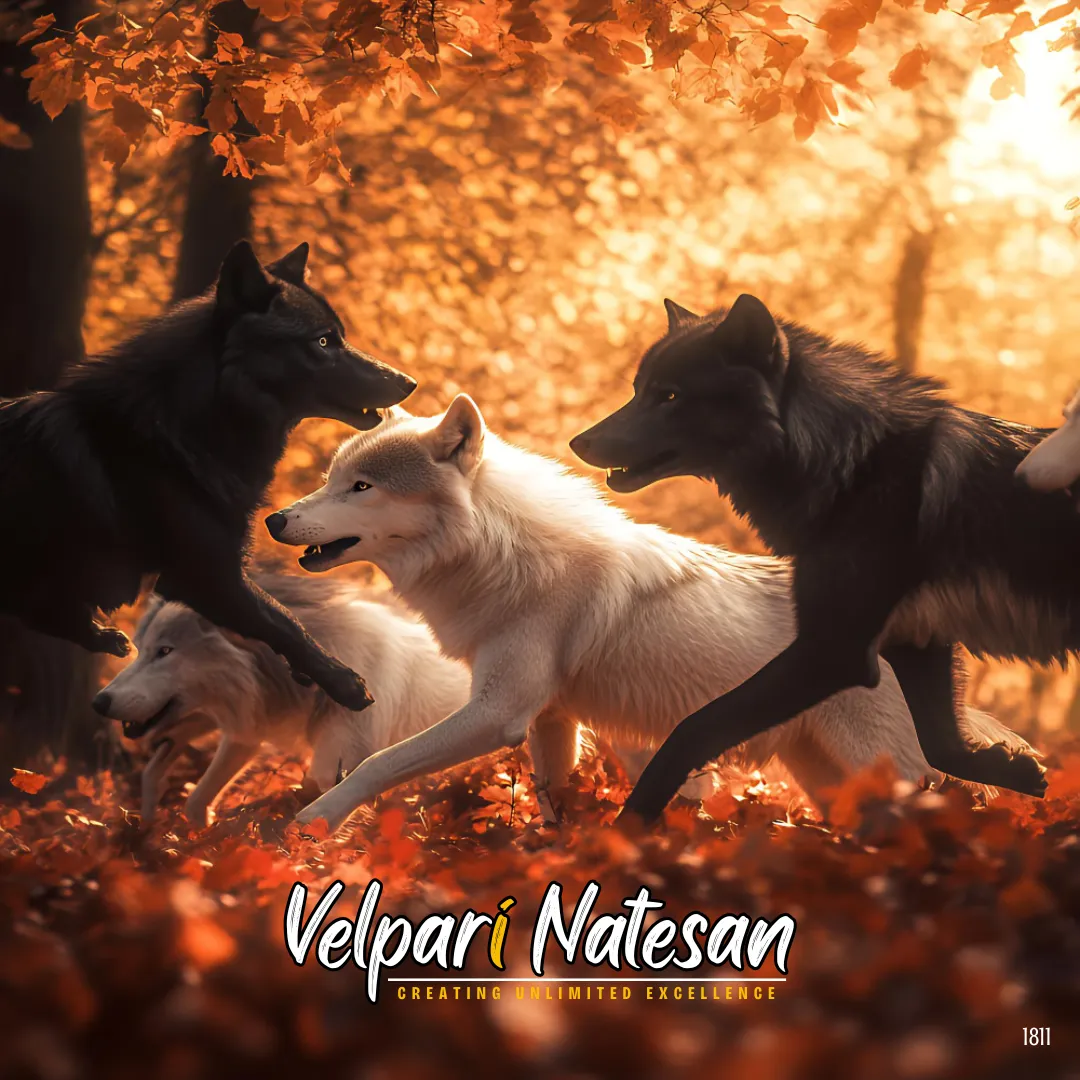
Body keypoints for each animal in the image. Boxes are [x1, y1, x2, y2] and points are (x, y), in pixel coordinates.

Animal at [1, 240, 415, 710]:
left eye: (339, 335)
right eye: (324, 340)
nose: (409, 382)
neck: (178, 428)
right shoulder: (205, 573)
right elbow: (283, 620)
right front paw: (343, 682)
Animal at [94, 574, 470, 826]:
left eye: (165, 651)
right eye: (139, 649)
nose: (98, 702)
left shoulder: (339, 759)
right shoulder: (247, 732)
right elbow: (195, 800)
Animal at [263, 396, 1032, 834]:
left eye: (362, 487)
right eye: (331, 479)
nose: (273, 518)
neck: (503, 554)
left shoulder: (498, 712)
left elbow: (377, 763)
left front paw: (311, 823)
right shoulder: (550, 720)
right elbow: (553, 800)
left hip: (879, 764)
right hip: (827, 775)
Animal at [570, 295, 1059, 822]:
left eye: (671, 396)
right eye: (638, 390)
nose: (578, 441)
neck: (852, 462)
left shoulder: (833, 650)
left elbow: (692, 730)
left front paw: (629, 826)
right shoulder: (912, 640)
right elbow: (941, 744)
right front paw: (1014, 771)